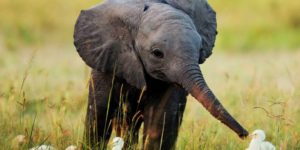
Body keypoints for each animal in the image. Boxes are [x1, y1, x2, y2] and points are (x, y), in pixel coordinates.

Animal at [73, 0, 248, 149]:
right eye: (157, 53)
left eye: (200, 50)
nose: (245, 134)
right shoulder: (108, 61)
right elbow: (100, 115)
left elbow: (161, 119)